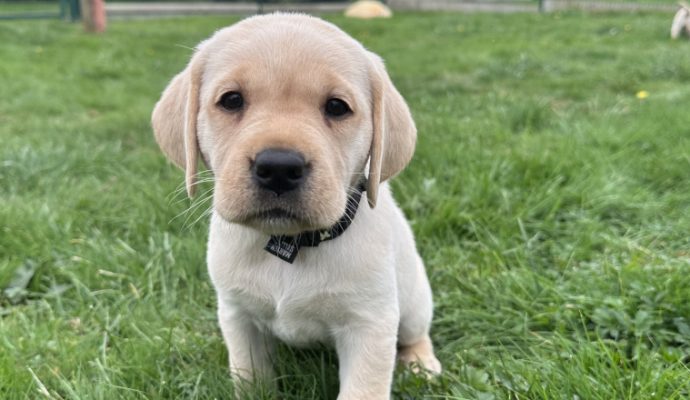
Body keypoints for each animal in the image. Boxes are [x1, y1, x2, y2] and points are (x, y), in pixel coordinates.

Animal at [151, 13, 440, 400]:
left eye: (336, 107)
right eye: (231, 100)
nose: (278, 168)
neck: (291, 243)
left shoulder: (369, 323)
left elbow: (363, 389)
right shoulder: (237, 315)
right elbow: (251, 379)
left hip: (413, 302)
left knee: (416, 333)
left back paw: (422, 364)